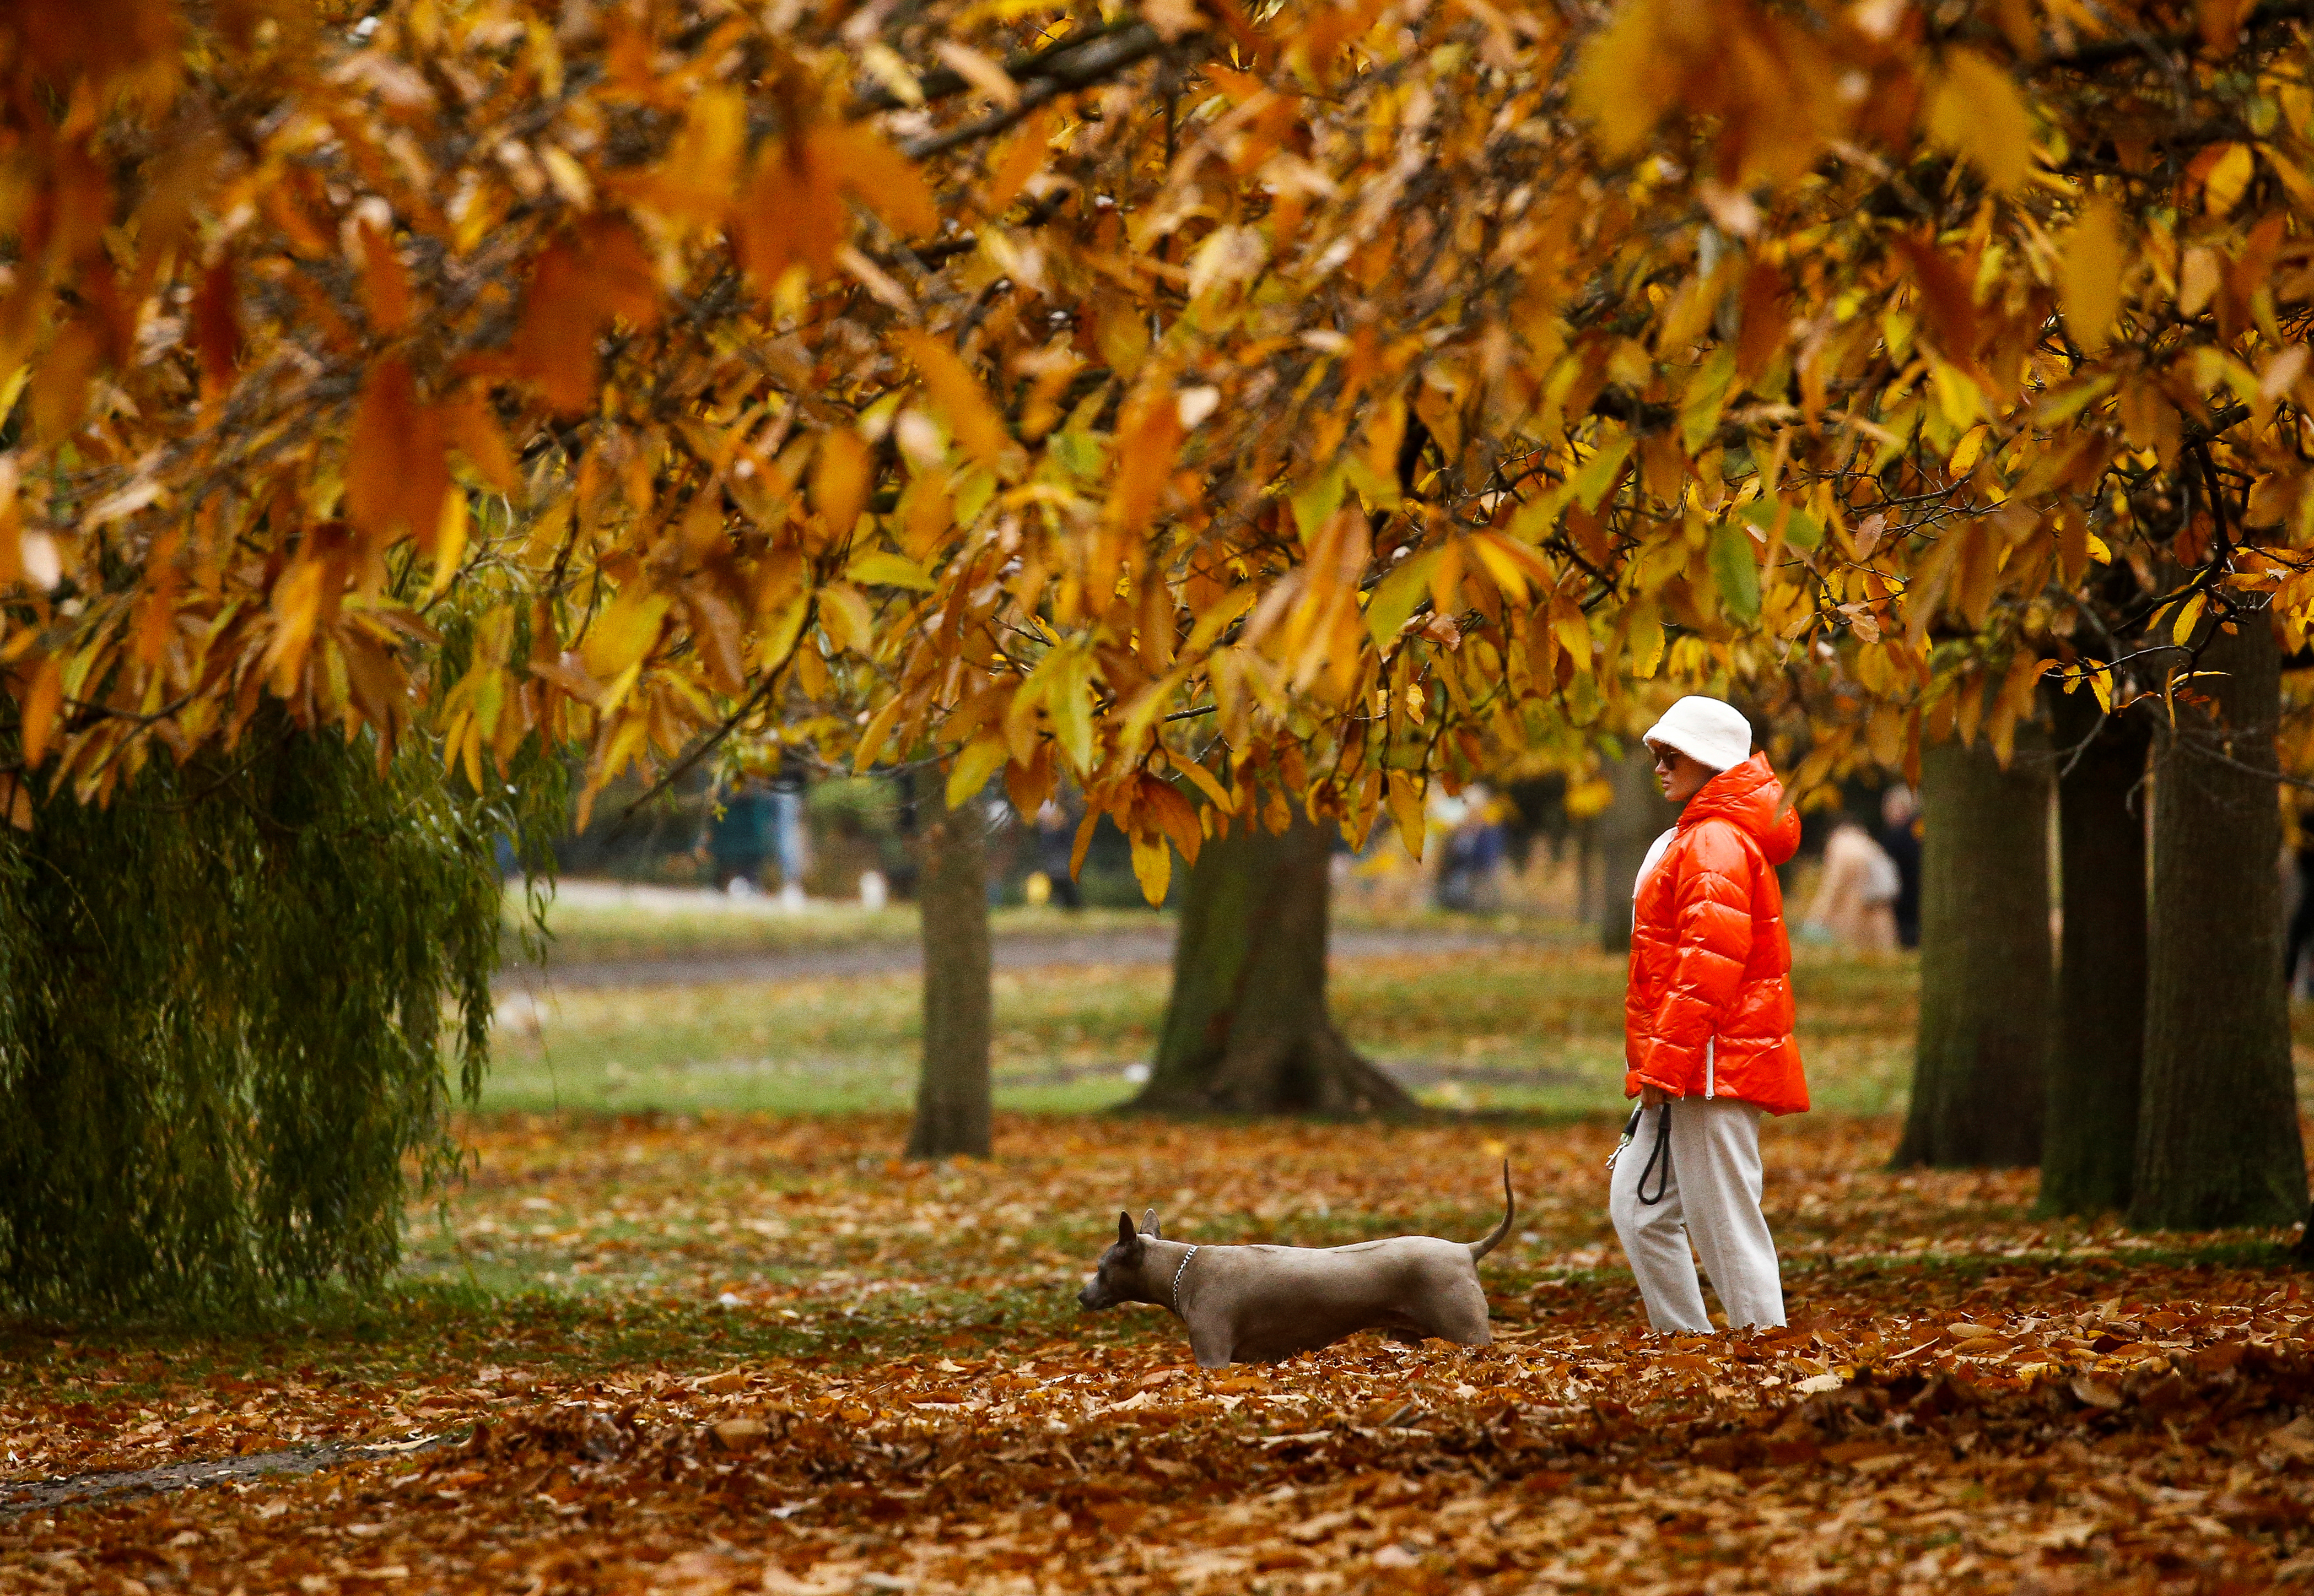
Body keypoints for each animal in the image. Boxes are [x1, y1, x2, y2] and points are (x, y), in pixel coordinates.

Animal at [1078, 1161, 1518, 1360]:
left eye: (1101, 1268)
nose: (1081, 1296)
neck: (1183, 1270)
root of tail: (1465, 1248)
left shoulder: (1213, 1354)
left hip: (1466, 1329)